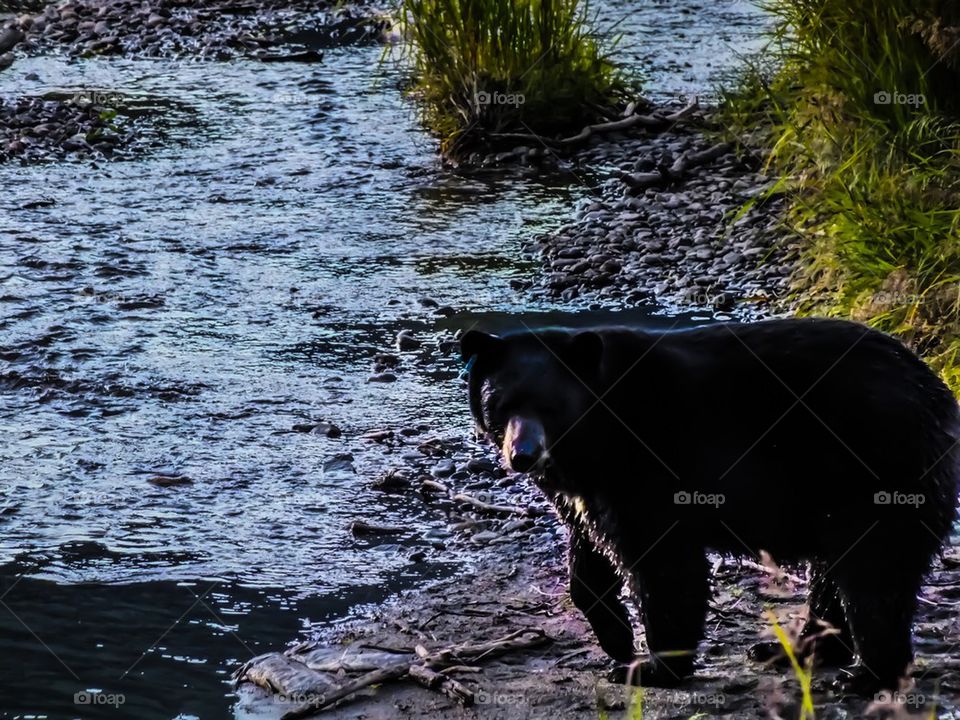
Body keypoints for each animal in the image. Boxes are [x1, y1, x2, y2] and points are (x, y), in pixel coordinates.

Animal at [460, 318, 960, 695]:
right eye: (500, 403)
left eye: (551, 405)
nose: (522, 455)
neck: (593, 439)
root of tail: (937, 392)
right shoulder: (582, 491)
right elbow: (587, 557)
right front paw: (616, 635)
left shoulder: (649, 464)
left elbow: (663, 564)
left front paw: (652, 665)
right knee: (834, 573)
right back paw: (796, 650)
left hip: (877, 468)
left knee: (874, 575)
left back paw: (866, 675)